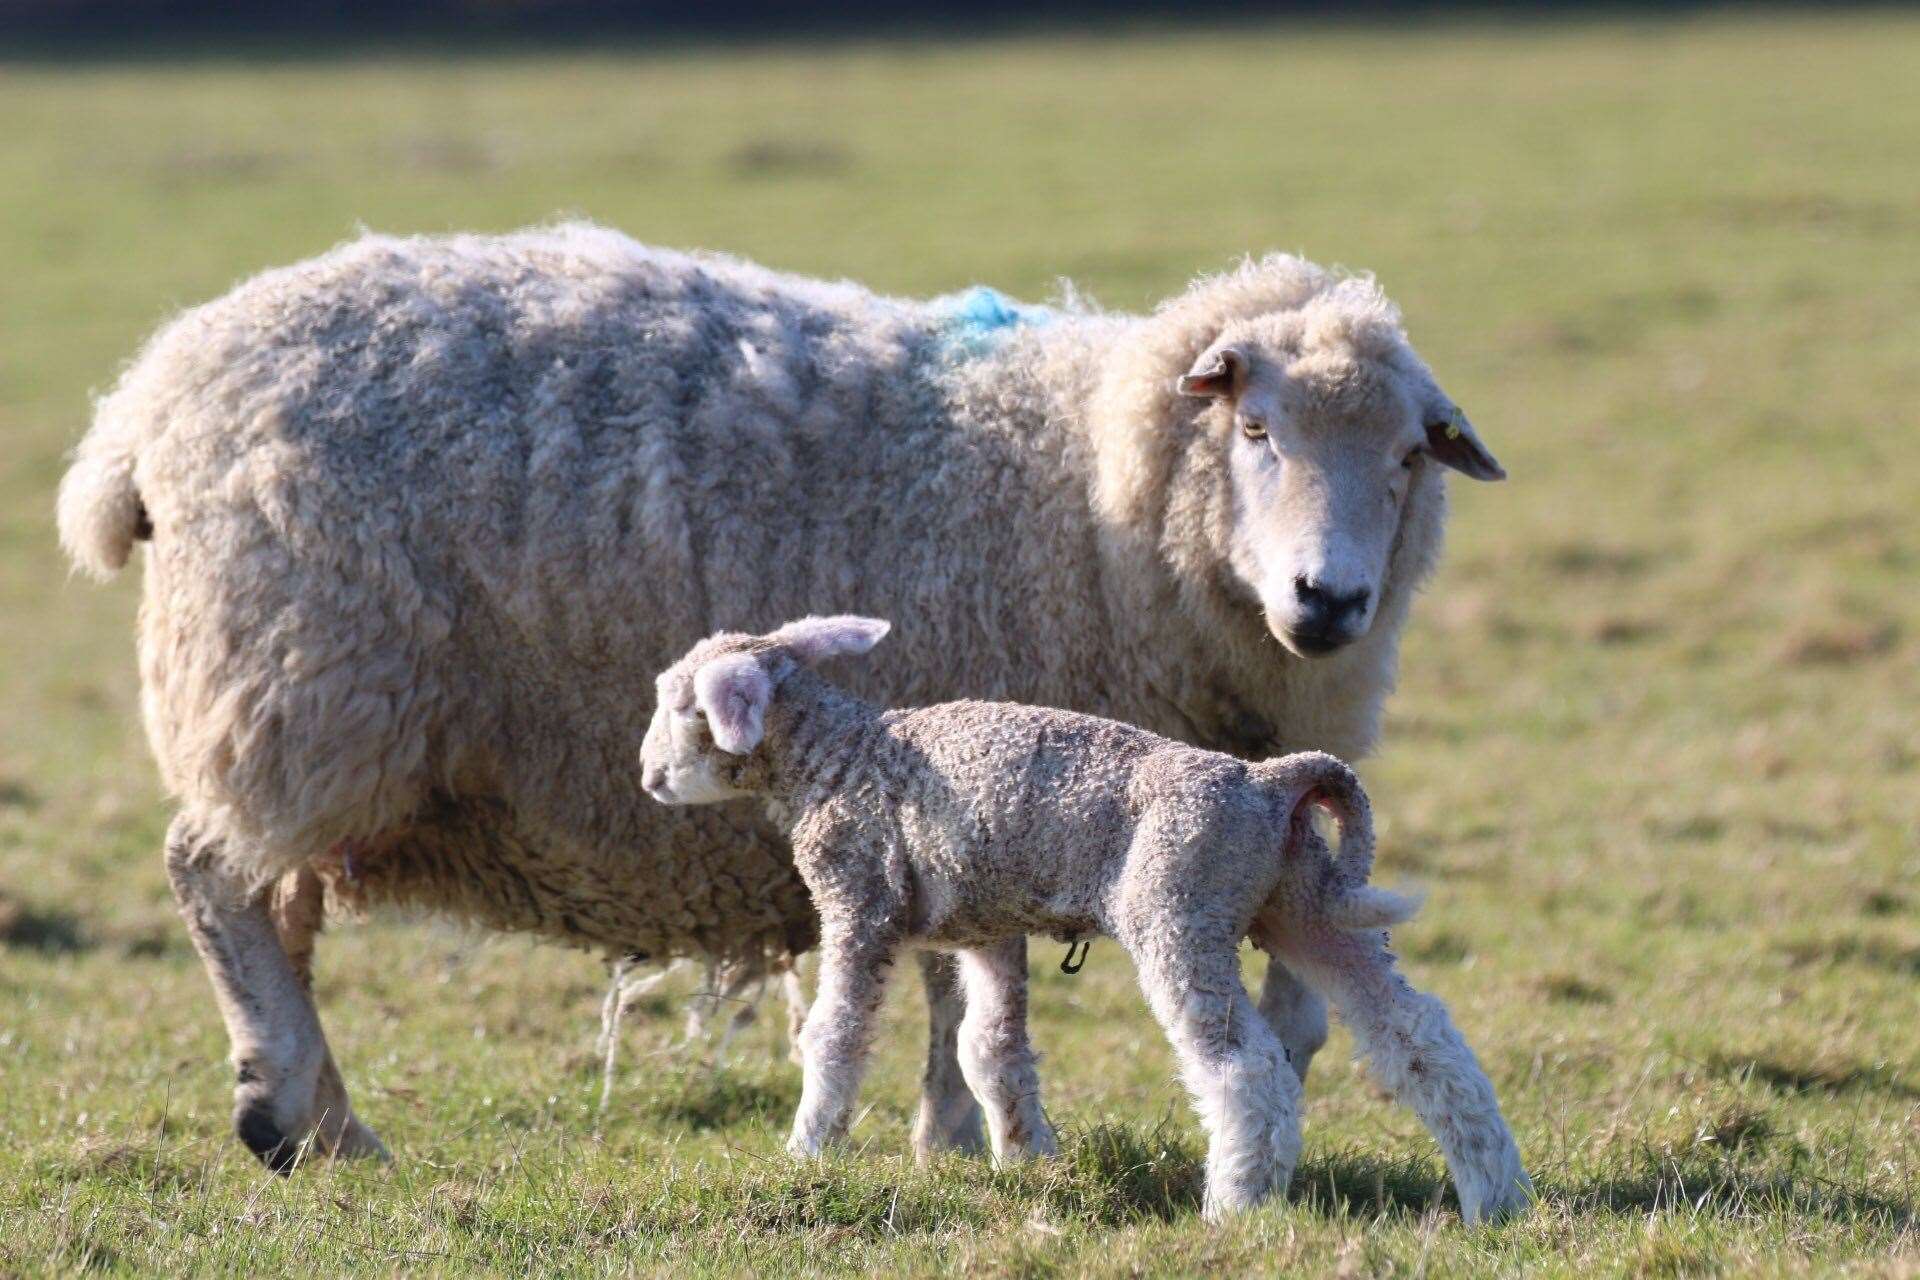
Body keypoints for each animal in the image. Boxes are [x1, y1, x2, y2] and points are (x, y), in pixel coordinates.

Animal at [56, 220, 1497, 1174]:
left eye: (1410, 456)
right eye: (1255, 430)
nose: (1329, 601)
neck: (1085, 487)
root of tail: (146, 404)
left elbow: (974, 984)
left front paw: (953, 1133)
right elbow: (965, 992)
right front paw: (957, 1133)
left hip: (309, 726)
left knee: (276, 908)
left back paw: (317, 1114)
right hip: (299, 700)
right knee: (217, 884)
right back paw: (300, 1112)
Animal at [641, 614, 1528, 1228]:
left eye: (683, 707)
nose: (647, 778)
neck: (835, 757)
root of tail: (1271, 781)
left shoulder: (858, 904)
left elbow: (834, 1035)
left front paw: (808, 1149)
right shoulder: (987, 926)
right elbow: (990, 1048)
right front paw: (1023, 1159)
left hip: (1180, 908)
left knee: (1247, 1070)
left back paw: (1236, 1208)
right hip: (1307, 905)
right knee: (1423, 1039)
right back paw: (1495, 1195)